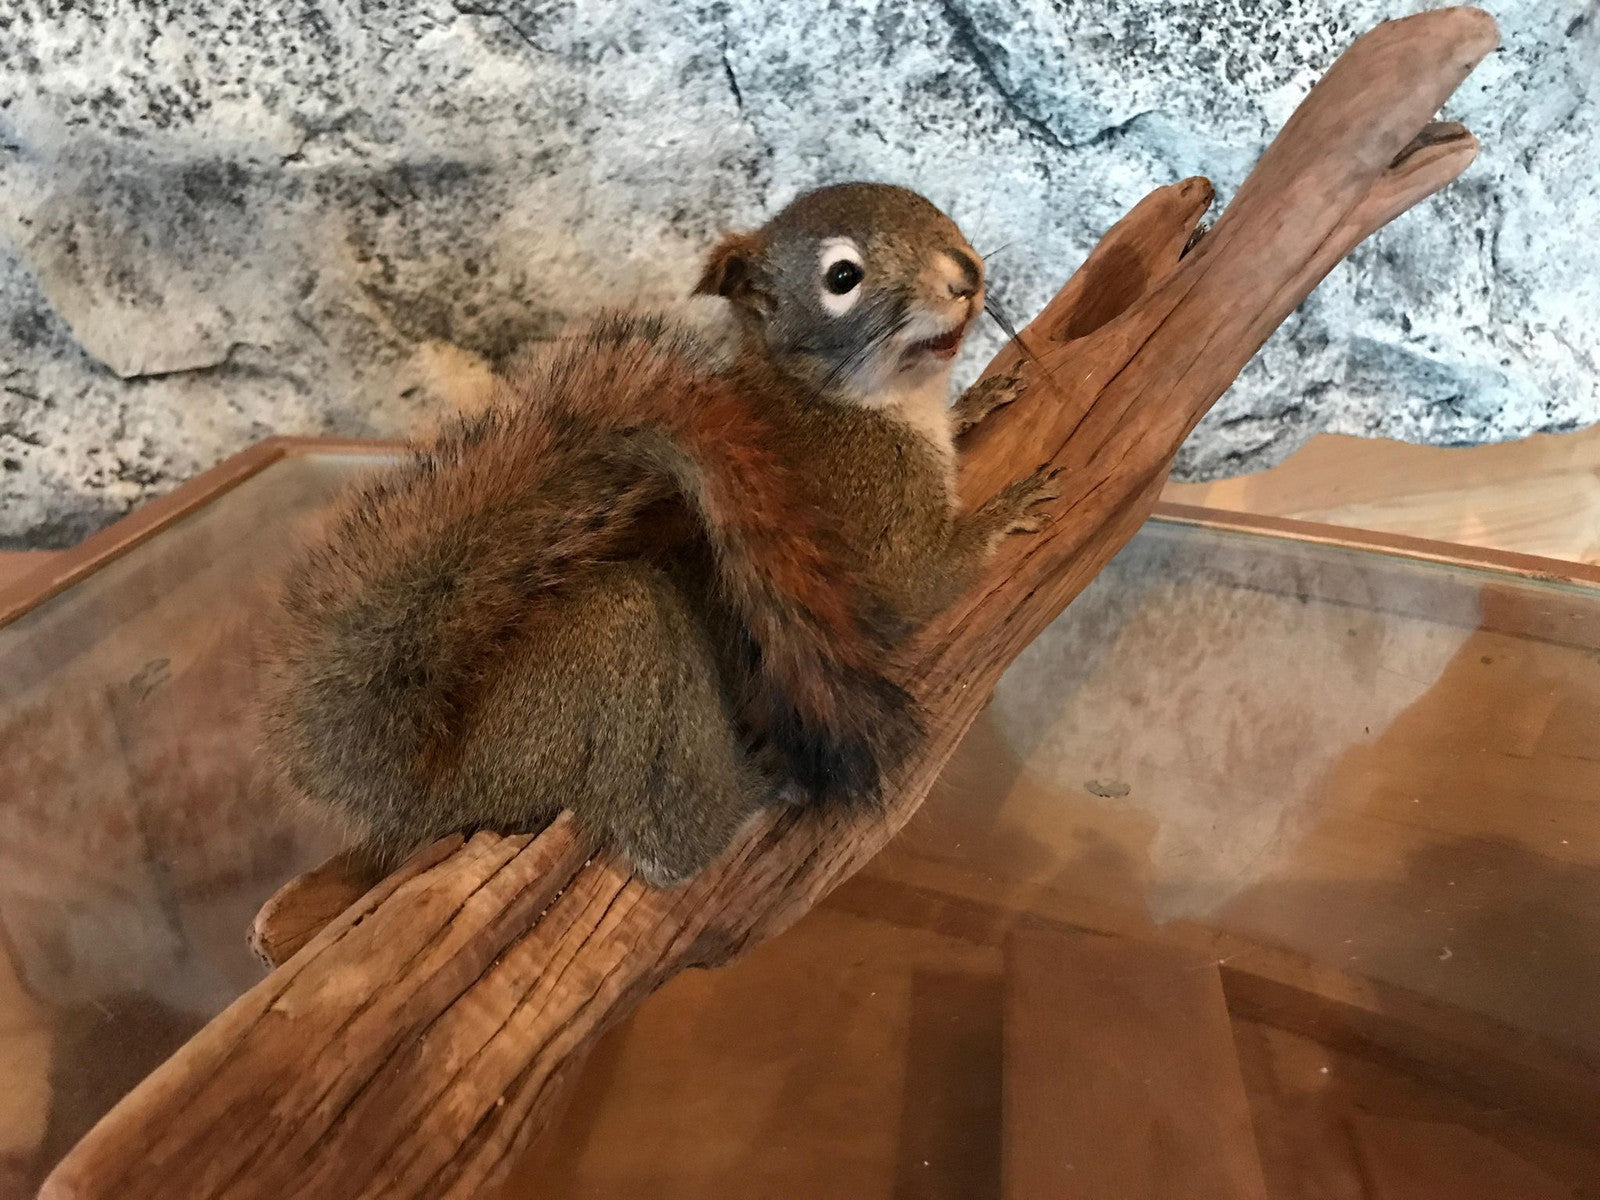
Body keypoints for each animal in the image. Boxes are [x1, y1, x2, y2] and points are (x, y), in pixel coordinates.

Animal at [261, 182, 1055, 886]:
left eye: (927, 204)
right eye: (842, 278)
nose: (966, 275)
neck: (852, 400)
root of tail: (431, 788)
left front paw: (979, 400)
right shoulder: (869, 527)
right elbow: (921, 588)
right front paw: (1009, 507)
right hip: (620, 644)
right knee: (662, 842)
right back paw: (751, 801)